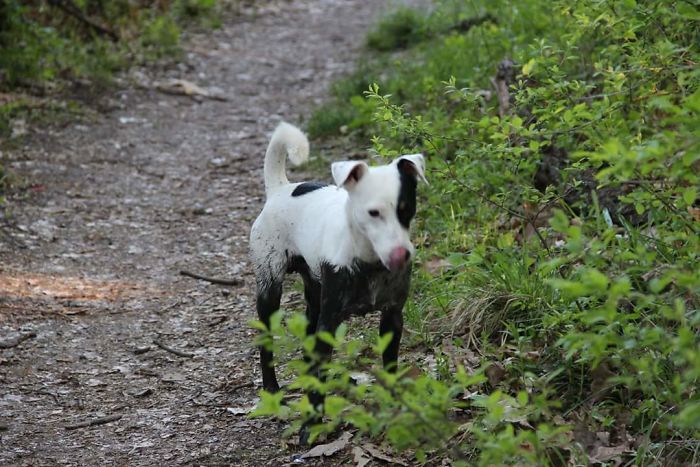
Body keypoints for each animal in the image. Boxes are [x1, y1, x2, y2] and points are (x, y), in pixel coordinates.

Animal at [252, 122, 426, 444]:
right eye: (373, 213)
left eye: (406, 209)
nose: (402, 254)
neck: (367, 260)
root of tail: (280, 189)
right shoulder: (329, 321)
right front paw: (311, 426)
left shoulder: (393, 317)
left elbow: (390, 366)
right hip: (269, 288)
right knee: (265, 339)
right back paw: (272, 389)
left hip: (314, 293)